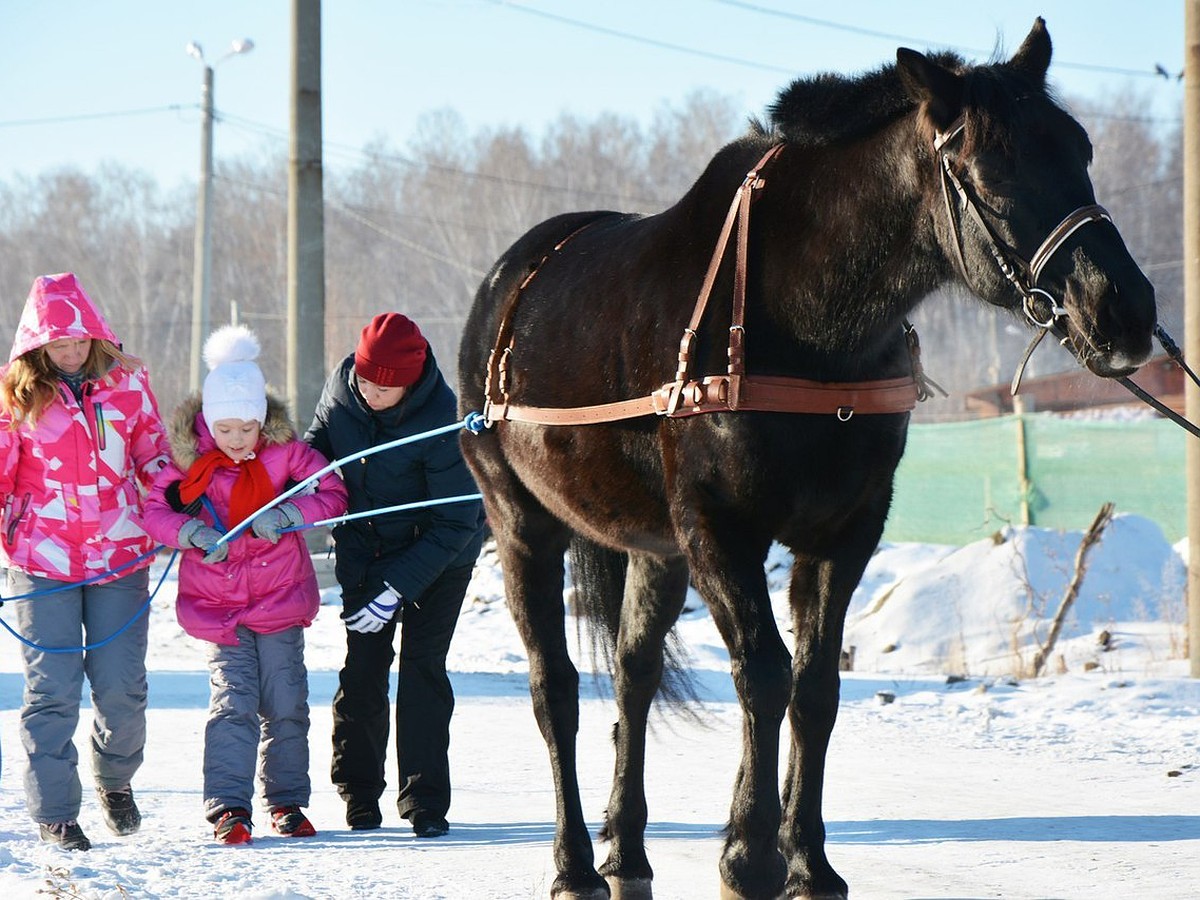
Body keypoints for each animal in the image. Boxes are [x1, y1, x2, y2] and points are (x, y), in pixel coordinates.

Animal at [456, 19, 1152, 900]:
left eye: (1079, 146)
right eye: (993, 170)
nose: (1124, 309)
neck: (804, 318)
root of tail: (507, 283)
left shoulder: (842, 530)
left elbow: (816, 687)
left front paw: (809, 861)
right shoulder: (720, 529)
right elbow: (764, 674)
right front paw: (748, 857)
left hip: (653, 550)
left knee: (633, 674)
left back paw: (629, 850)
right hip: (521, 525)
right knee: (555, 690)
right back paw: (576, 862)